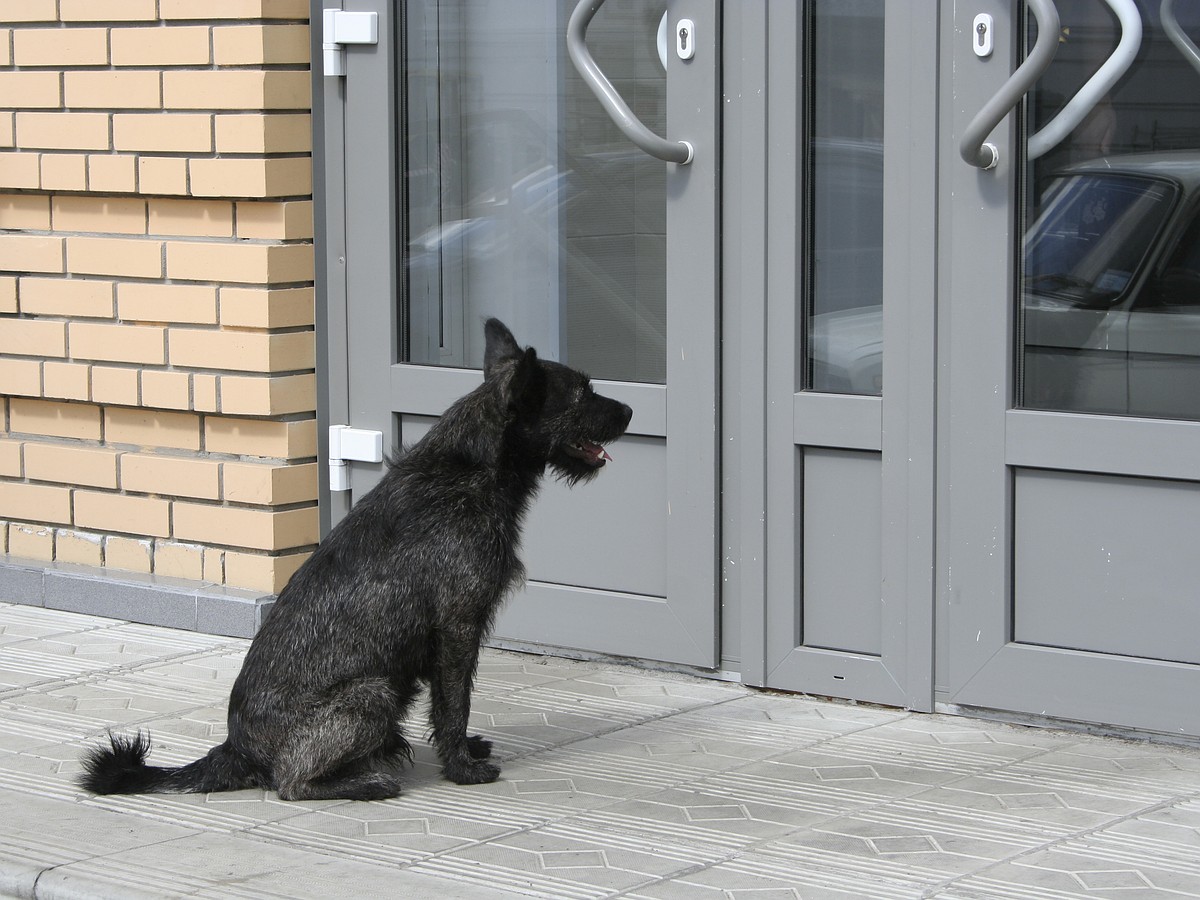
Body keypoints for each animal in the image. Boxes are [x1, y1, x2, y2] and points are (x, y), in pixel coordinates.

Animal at [78, 321, 633, 801]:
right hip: (373, 692)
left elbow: (449, 707)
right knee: (290, 783)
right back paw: (366, 782)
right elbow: (454, 704)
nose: (630, 411)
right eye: (583, 393)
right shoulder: (457, 627)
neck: (467, 469)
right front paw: (461, 767)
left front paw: (465, 752)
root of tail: (235, 750)